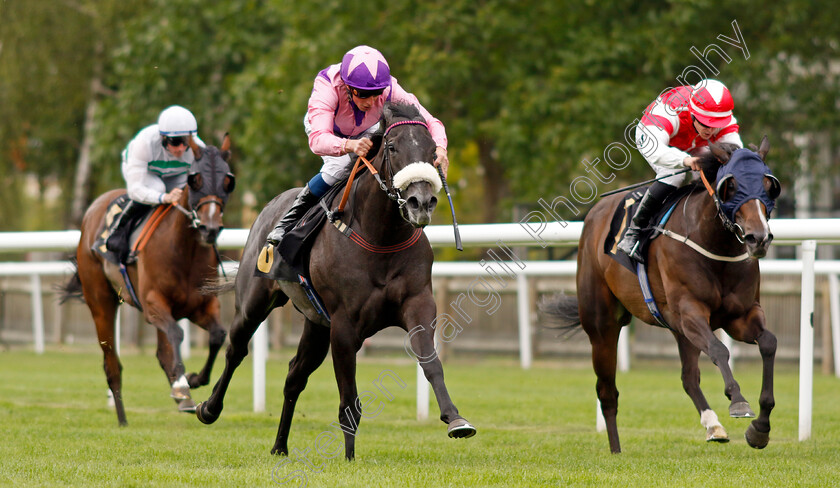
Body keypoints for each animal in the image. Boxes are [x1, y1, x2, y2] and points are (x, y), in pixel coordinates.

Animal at [61, 135, 236, 426]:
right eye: (195, 179)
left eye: (227, 180)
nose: (209, 228)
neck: (184, 251)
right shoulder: (154, 303)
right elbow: (176, 335)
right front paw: (182, 386)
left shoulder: (202, 304)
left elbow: (217, 335)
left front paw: (192, 380)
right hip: (100, 302)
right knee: (112, 363)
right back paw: (122, 419)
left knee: (162, 351)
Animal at [193, 101, 476, 460]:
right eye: (393, 147)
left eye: (431, 150)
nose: (421, 203)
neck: (380, 237)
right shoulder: (344, 325)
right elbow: (349, 400)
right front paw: (349, 457)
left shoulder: (418, 305)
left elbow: (430, 361)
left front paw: (456, 420)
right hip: (254, 302)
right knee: (236, 349)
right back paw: (208, 408)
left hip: (316, 325)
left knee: (294, 376)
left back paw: (280, 445)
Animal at [540, 137, 784, 454]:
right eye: (730, 186)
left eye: (769, 185)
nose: (758, 238)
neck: (715, 244)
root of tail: (595, 212)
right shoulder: (689, 311)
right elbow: (719, 350)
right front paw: (739, 401)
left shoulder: (740, 316)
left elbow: (768, 342)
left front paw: (760, 429)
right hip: (602, 325)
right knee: (607, 391)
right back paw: (616, 450)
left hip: (678, 330)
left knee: (688, 378)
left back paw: (713, 426)